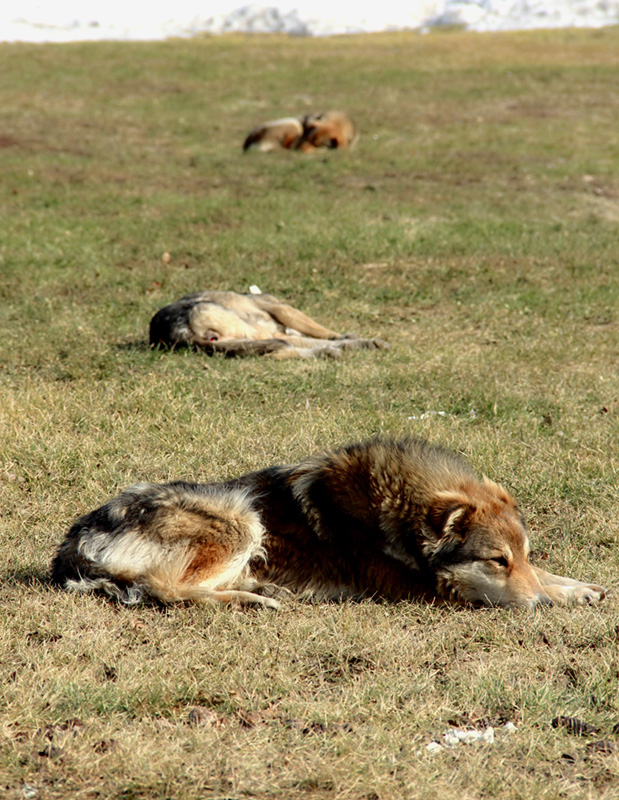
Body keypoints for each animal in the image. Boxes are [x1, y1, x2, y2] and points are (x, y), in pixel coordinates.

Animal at [52, 438, 604, 608]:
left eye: (522, 555)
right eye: (496, 560)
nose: (538, 607)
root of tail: (73, 542)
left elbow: (549, 577)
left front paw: (579, 588)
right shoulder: (429, 589)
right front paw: (558, 597)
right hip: (238, 520)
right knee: (165, 588)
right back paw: (254, 599)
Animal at [149, 290, 388, 360]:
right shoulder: (283, 310)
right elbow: (323, 331)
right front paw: (352, 339)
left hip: (246, 341)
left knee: (279, 352)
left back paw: (328, 352)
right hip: (249, 329)